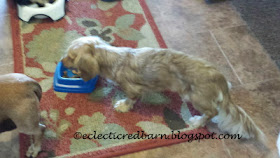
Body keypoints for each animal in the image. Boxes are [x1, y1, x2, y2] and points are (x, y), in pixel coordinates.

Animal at [62, 35, 266, 144]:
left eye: (71, 57)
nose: (61, 61)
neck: (113, 58)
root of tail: (220, 78)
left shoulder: (133, 89)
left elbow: (130, 99)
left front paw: (123, 106)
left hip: (195, 97)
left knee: (212, 112)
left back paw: (198, 121)